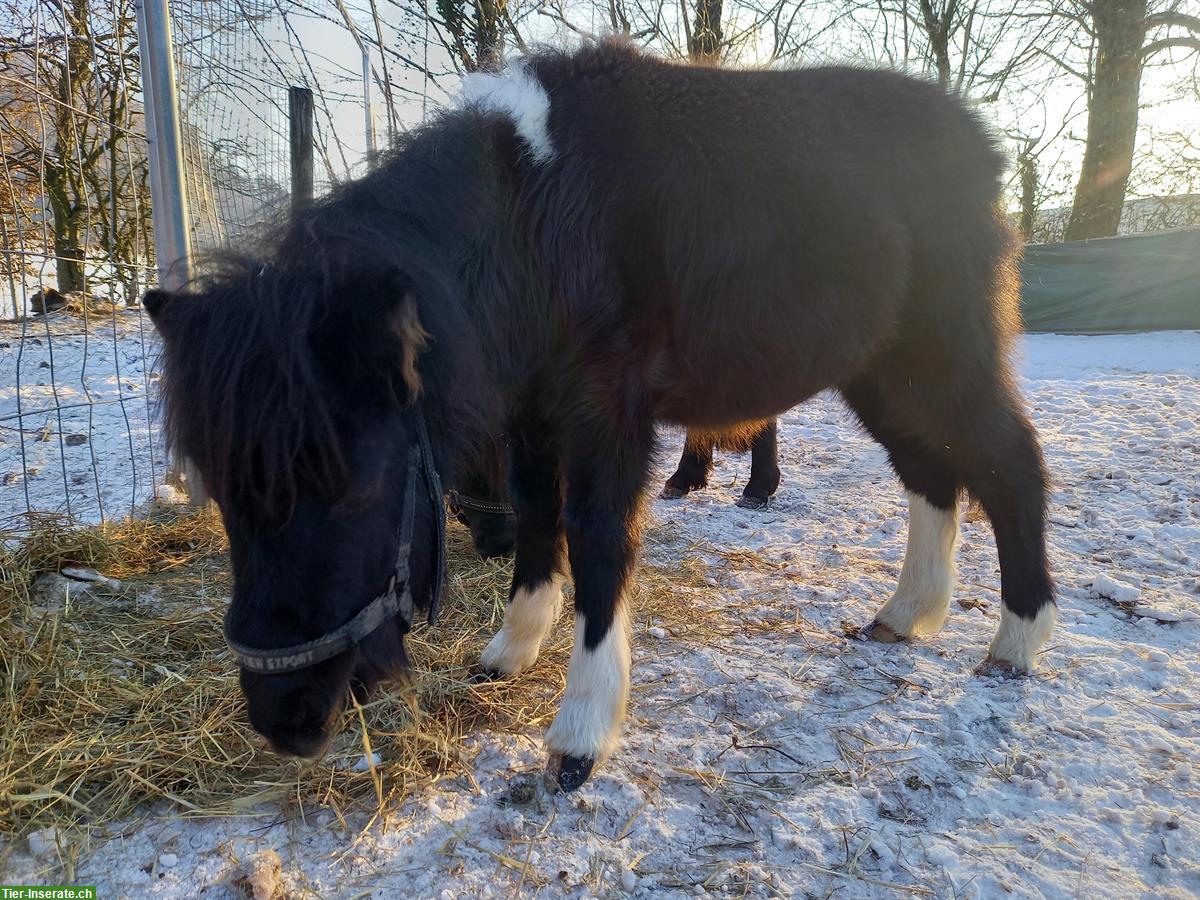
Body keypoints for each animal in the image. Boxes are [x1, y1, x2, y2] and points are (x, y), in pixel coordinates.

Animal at [144, 39, 1056, 792]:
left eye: (356, 487)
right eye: (220, 492)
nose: (284, 718)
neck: (536, 219)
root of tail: (979, 147)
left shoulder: (608, 412)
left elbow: (597, 539)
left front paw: (580, 737)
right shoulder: (532, 417)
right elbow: (538, 521)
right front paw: (511, 651)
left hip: (942, 356)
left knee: (1009, 464)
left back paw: (1016, 642)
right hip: (880, 375)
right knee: (930, 474)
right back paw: (907, 616)